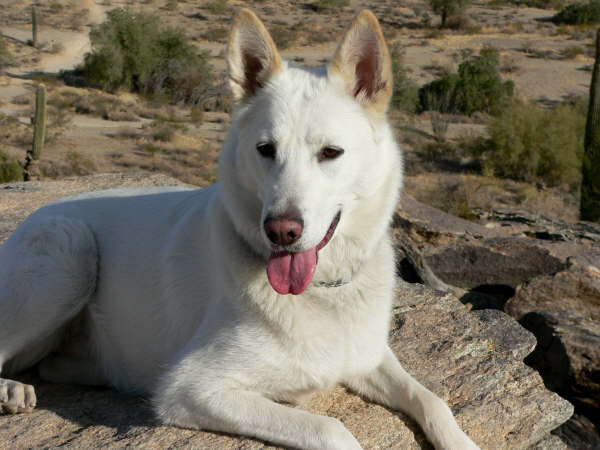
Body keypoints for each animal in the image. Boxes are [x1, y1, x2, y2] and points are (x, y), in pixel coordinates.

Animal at [0, 10, 478, 450]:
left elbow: (431, 399)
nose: (280, 231)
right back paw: (12, 390)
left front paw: (461, 440)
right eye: (265, 149)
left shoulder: (370, 356)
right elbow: (331, 429)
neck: (324, 292)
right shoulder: (192, 388)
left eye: (331, 152)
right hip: (69, 251)